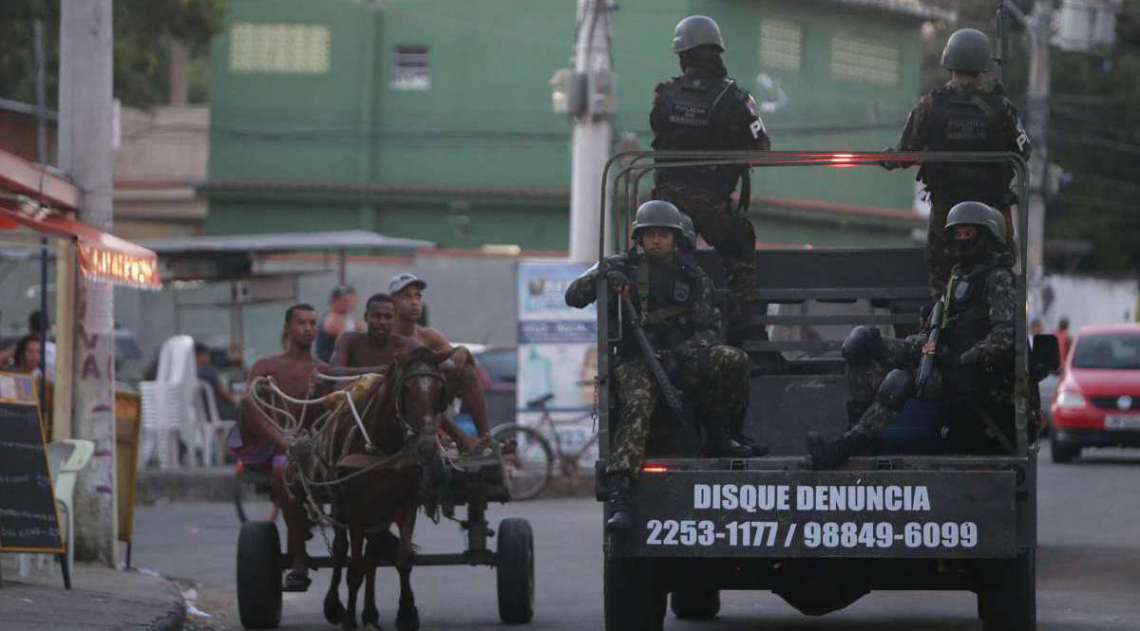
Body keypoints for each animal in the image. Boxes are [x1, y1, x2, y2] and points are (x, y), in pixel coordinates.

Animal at [316, 346, 453, 624]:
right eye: (406, 390)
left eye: (440, 392)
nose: (427, 447)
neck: (384, 450)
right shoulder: (356, 512)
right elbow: (353, 569)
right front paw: (349, 620)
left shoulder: (405, 506)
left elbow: (403, 559)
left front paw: (407, 614)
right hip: (340, 503)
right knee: (340, 550)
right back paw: (334, 605)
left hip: (379, 514)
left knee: (373, 553)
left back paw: (370, 613)